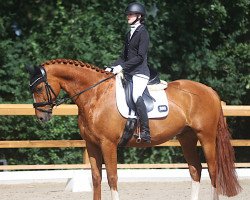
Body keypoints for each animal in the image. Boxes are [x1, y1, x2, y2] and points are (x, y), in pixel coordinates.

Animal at [26, 59, 240, 200]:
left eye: (39, 88)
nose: (41, 117)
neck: (95, 95)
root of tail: (210, 91)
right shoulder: (92, 144)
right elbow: (96, 178)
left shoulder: (108, 144)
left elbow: (112, 177)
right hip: (186, 137)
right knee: (196, 170)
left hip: (206, 137)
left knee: (213, 170)